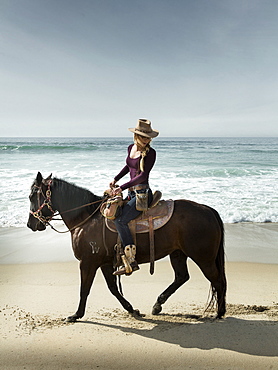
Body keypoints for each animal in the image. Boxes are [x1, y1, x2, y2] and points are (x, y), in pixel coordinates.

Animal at [27, 173, 227, 320]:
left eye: (31, 196)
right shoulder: (105, 263)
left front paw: (76, 315)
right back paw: (158, 304)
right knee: (182, 277)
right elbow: (113, 288)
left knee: (217, 280)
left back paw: (219, 313)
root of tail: (208, 209)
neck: (86, 218)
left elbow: (85, 289)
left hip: (203, 257)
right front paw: (132, 309)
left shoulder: (88, 263)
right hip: (178, 253)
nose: (30, 224)